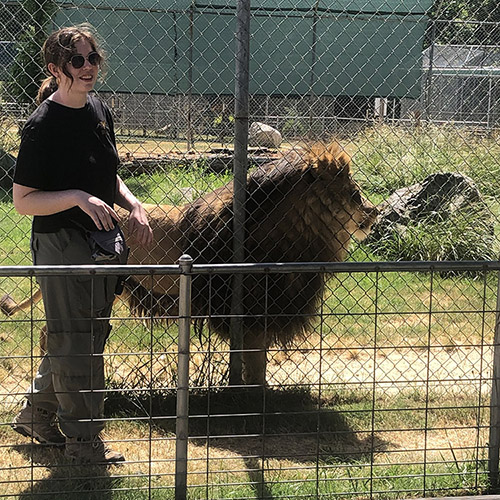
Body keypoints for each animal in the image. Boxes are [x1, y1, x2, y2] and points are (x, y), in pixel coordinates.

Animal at [0, 143, 376, 384]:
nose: (373, 211)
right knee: (52, 337)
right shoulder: (253, 312)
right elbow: (256, 362)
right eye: (355, 192)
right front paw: (256, 401)